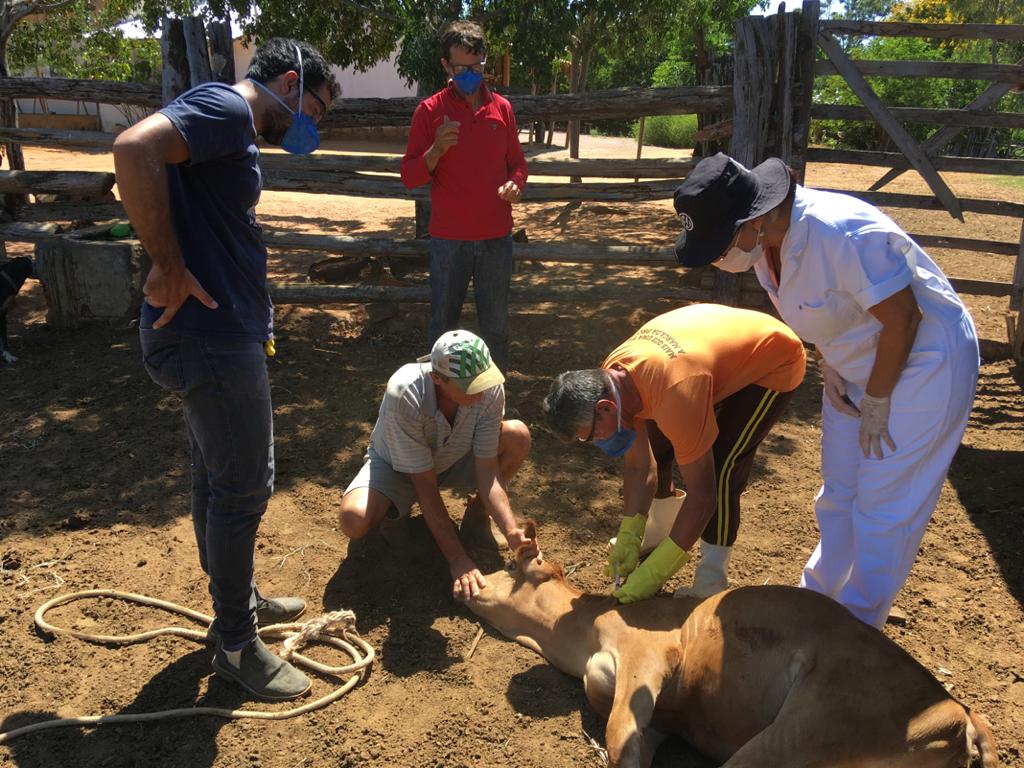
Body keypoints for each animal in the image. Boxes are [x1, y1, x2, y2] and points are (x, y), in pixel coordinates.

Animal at [468, 524, 995, 768]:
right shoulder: (660, 720)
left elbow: (619, 736)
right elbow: (634, 739)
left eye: (508, 567)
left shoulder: (648, 657)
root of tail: (962, 714)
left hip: (809, 728)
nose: (464, 582)